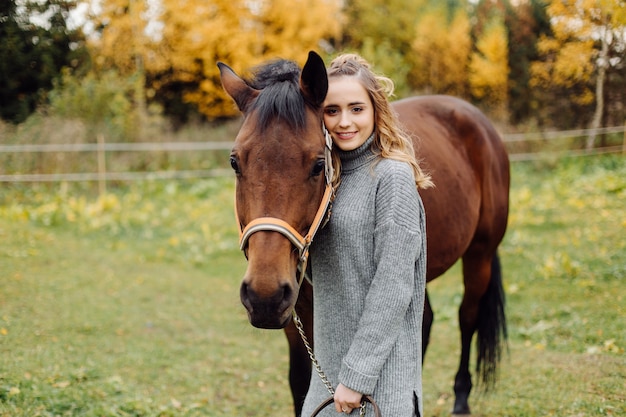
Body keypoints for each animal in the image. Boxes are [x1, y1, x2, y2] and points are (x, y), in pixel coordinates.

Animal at [217, 50, 510, 414]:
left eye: (318, 165)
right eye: (235, 162)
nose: (264, 295)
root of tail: (478, 121)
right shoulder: (297, 313)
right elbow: (300, 383)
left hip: (479, 254)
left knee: (466, 316)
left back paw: (461, 397)